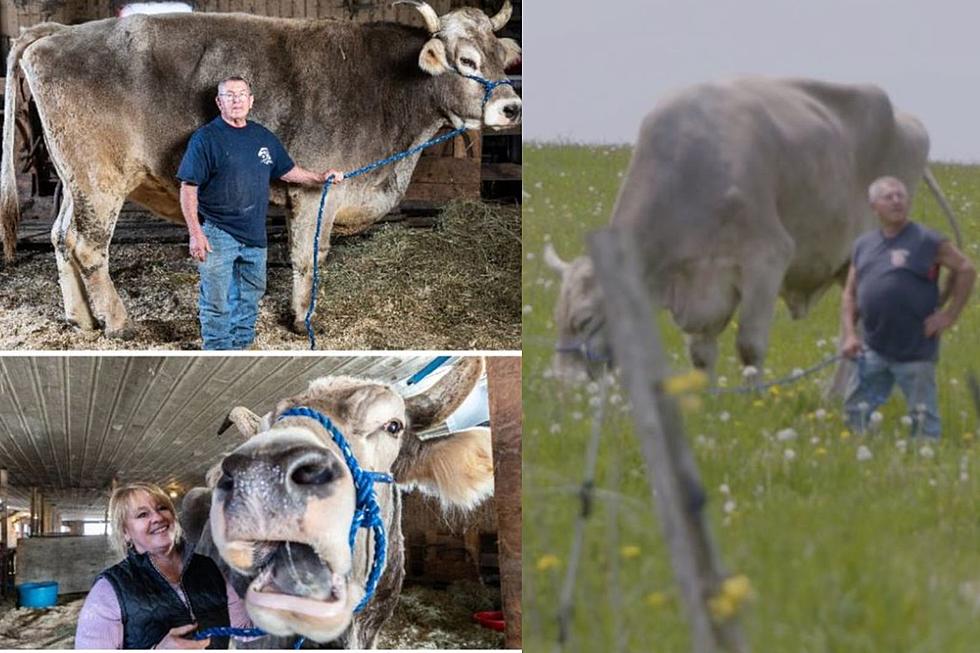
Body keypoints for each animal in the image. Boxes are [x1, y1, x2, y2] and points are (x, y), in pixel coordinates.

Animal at [0, 3, 520, 342]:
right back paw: (117, 322)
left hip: (74, 180)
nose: (512, 107)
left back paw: (82, 320)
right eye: (468, 60)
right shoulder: (315, 191)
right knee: (88, 247)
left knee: (61, 237)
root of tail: (58, 32)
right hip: (99, 179)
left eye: (501, 59)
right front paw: (302, 320)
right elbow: (309, 257)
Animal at [544, 78, 956, 380]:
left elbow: (750, 345)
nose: (563, 385)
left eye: (584, 320)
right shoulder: (699, 284)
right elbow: (700, 353)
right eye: (558, 320)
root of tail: (904, 117)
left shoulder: (766, 259)